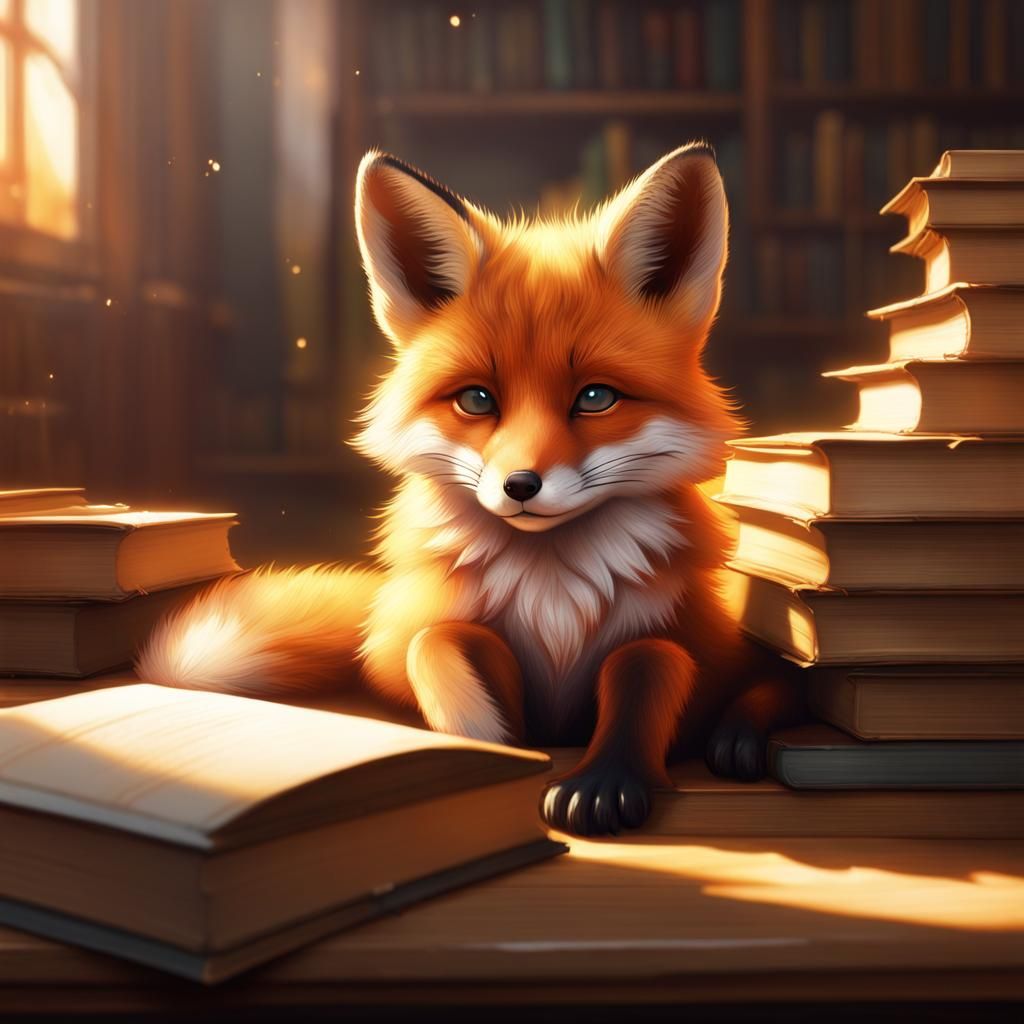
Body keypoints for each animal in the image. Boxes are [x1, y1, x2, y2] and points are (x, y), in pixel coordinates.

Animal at [138, 141, 804, 837]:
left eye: (595, 397)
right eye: (477, 399)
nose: (520, 485)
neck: (552, 598)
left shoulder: (697, 643)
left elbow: (650, 662)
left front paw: (604, 779)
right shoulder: (414, 636)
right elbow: (435, 646)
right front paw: (489, 748)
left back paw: (741, 737)